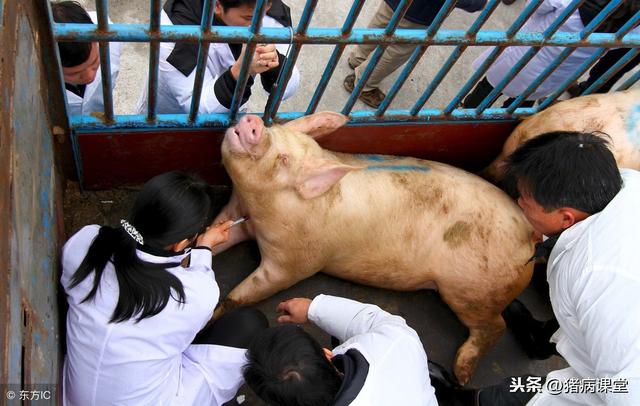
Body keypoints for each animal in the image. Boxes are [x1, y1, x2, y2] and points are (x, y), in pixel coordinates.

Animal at [215, 112, 536, 386]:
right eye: (276, 127)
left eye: (283, 159)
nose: (255, 121)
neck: (257, 213)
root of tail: (529, 232)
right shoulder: (235, 215)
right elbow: (212, 235)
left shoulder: (293, 262)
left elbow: (244, 294)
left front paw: (215, 316)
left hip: (471, 290)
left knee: (495, 326)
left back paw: (462, 373)